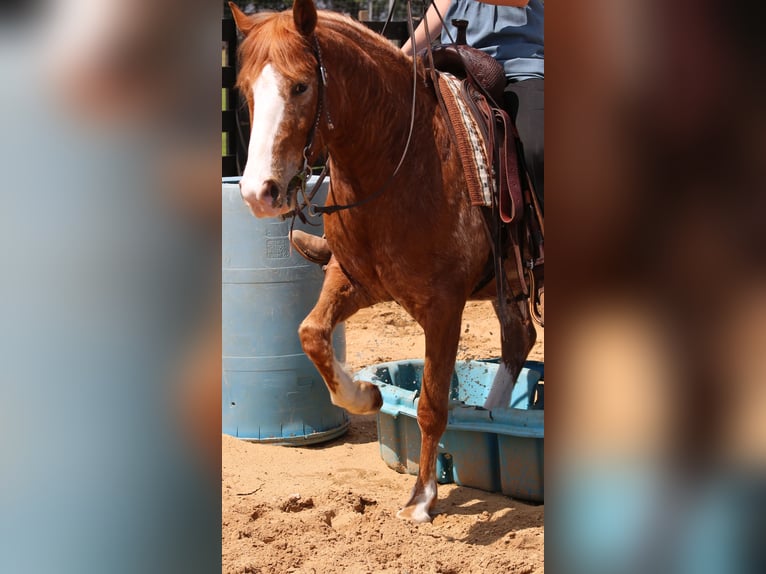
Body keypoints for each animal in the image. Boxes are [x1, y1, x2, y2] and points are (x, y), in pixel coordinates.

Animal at [230, 0, 536, 523]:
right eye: (245, 89)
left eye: (301, 86)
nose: (257, 192)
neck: (405, 158)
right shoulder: (353, 279)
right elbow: (311, 335)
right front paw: (365, 394)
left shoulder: (444, 306)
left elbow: (432, 402)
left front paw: (422, 497)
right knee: (520, 337)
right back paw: (496, 410)